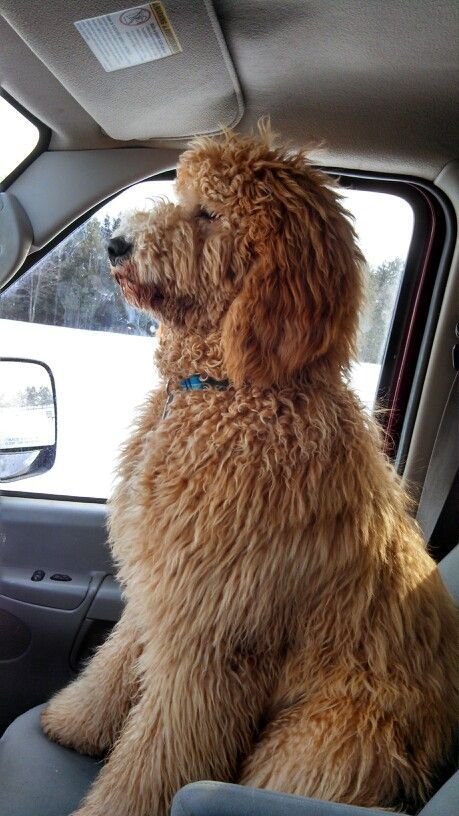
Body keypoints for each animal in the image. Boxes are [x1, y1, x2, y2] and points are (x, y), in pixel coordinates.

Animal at [41, 127, 458, 816]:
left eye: (210, 214)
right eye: (183, 194)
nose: (116, 242)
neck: (231, 392)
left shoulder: (213, 637)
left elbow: (160, 752)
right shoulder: (162, 589)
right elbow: (115, 661)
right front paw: (73, 722)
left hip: (319, 745)